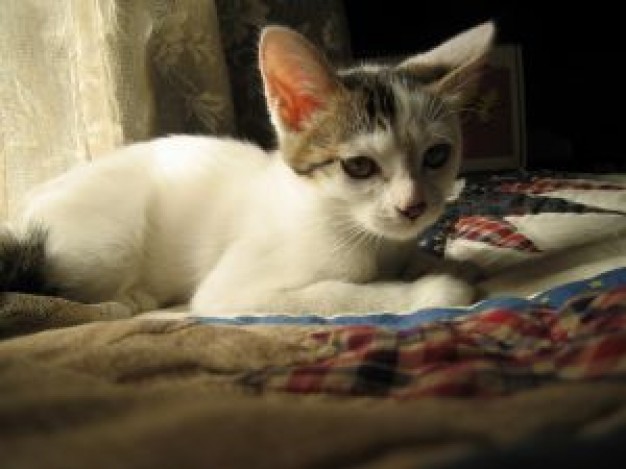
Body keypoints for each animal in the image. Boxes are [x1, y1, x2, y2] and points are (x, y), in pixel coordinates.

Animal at [2, 22, 494, 314]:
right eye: (358, 166)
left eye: (436, 156)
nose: (414, 207)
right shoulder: (234, 292)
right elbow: (338, 294)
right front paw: (432, 289)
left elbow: (413, 255)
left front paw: (445, 263)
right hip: (109, 243)